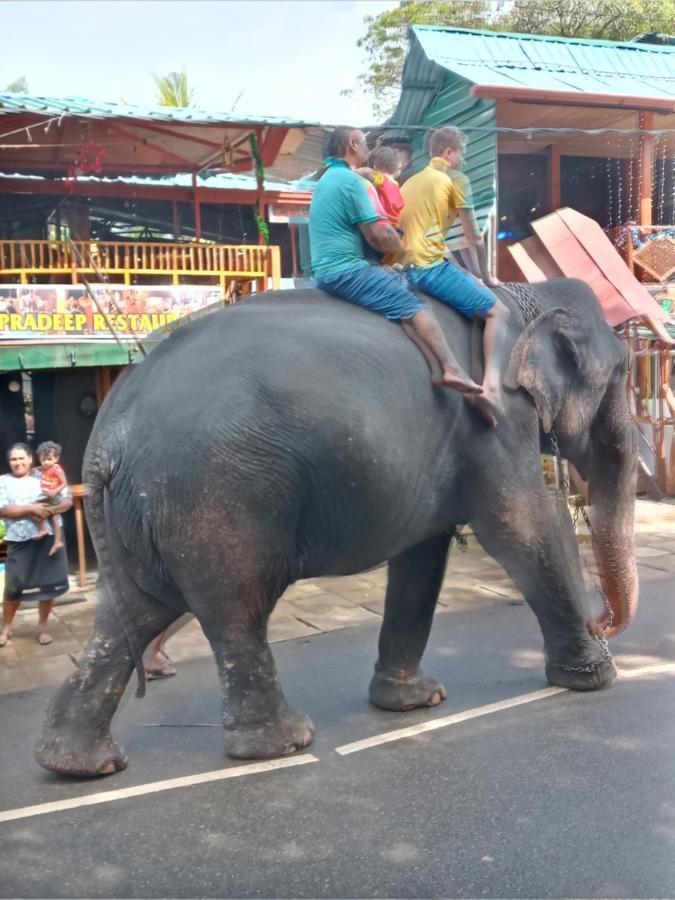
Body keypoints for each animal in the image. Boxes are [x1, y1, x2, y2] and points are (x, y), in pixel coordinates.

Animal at [37, 278, 640, 776]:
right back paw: (283, 744)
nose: (603, 621)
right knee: (235, 607)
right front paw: (594, 679)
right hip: (214, 497)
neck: (519, 294)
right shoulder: (493, 419)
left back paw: (80, 763)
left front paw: (412, 701)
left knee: (132, 615)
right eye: (622, 375)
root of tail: (107, 439)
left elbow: (423, 555)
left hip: (147, 514)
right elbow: (522, 524)